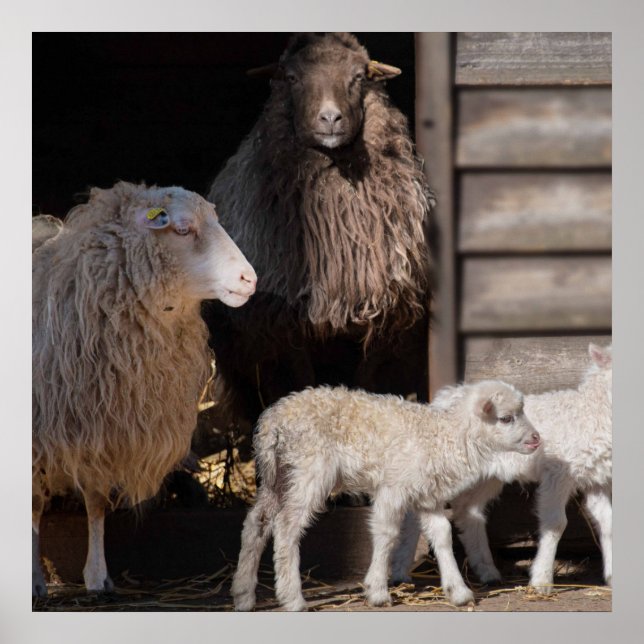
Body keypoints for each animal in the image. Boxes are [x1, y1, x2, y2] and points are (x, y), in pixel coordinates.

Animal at [32, 181, 257, 597]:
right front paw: (36, 580)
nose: (250, 280)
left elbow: (96, 501)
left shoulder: (104, 425)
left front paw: (98, 576)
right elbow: (36, 503)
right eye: (182, 230)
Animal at [204, 32, 434, 424]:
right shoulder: (284, 323)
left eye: (358, 77)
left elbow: (366, 380)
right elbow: (300, 380)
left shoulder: (384, 312)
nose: (330, 118)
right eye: (292, 77)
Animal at [231, 380, 541, 611]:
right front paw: (378, 590)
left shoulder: (426, 495)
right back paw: (293, 598)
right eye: (506, 418)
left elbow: (442, 534)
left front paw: (458, 591)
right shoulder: (393, 487)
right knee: (286, 526)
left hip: (278, 475)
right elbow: (387, 534)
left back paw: (244, 594)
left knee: (256, 522)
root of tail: (273, 420)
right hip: (309, 469)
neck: (442, 436)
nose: (537, 439)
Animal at [390, 343, 612, 594]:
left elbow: (607, 521)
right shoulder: (557, 472)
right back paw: (401, 572)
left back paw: (488, 572)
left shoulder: (597, 477)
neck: (590, 411)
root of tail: (443, 398)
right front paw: (541, 580)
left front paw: (612, 576)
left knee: (467, 510)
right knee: (416, 513)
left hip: (486, 476)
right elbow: (556, 523)